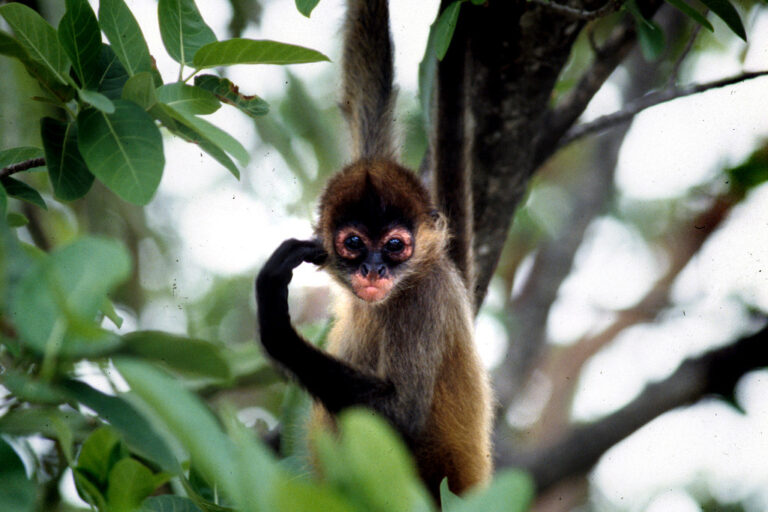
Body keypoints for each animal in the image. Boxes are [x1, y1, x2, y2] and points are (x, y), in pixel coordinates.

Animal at [254, 0, 492, 496]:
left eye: (395, 246)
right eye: (354, 244)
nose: (373, 270)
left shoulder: (427, 297)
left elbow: (400, 418)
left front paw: (275, 322)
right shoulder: (373, 162)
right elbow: (368, 93)